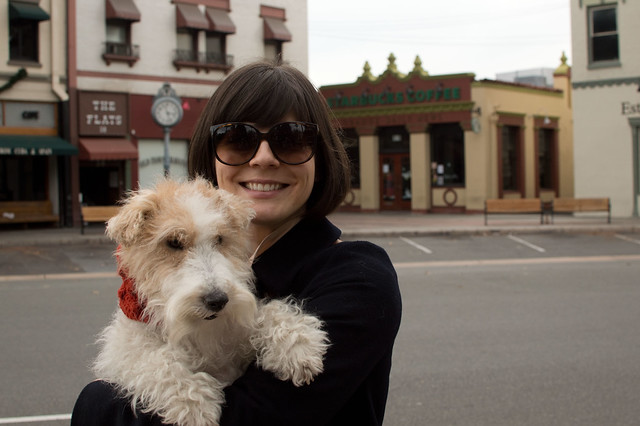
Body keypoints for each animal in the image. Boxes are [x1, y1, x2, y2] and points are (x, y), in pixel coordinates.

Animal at [95, 178, 330, 426]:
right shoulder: (124, 351)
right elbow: (156, 363)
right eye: (173, 242)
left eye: (219, 239)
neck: (201, 330)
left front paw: (297, 349)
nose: (217, 300)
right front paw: (194, 407)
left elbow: (269, 312)